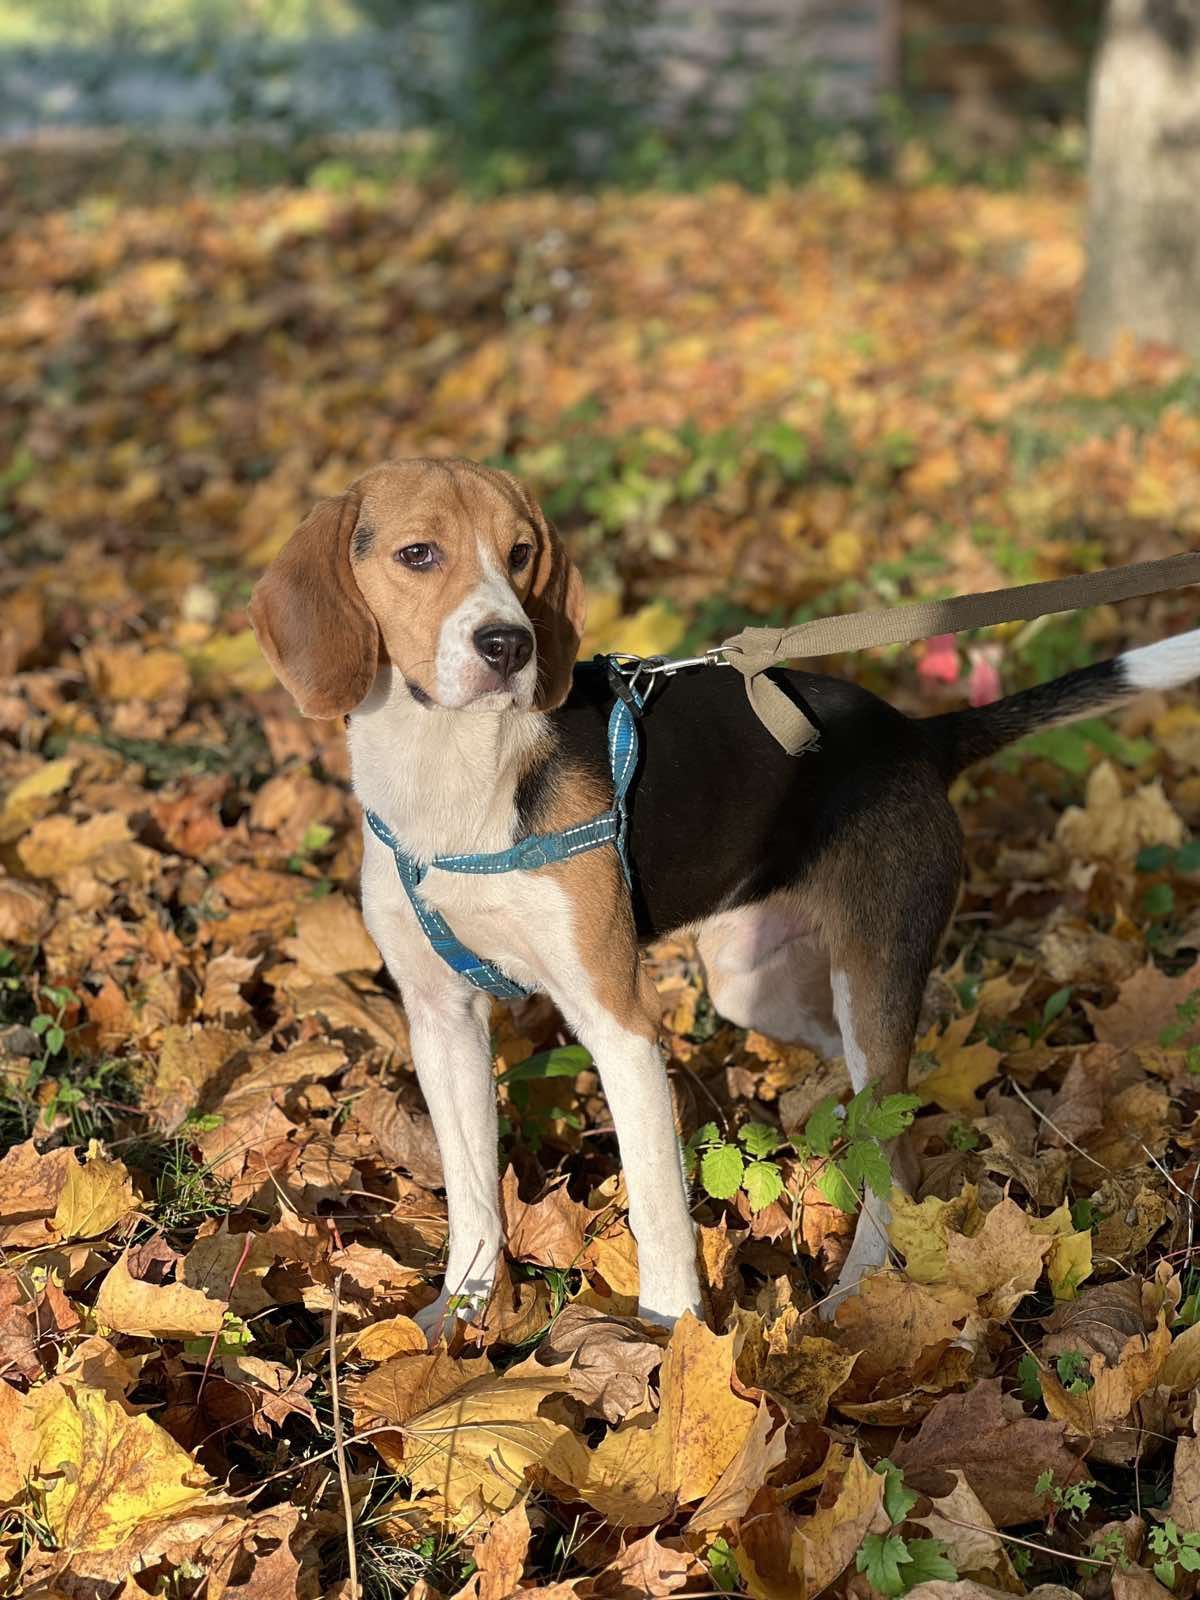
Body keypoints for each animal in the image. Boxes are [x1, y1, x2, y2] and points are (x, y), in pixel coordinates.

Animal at [251, 457, 1200, 1331]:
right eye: (419, 554)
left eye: (520, 555)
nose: (510, 646)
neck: (449, 774)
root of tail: (917, 735)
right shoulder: (440, 1020)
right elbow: (473, 1190)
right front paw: (458, 1316)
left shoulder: (619, 1022)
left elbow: (657, 1210)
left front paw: (667, 1347)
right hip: (751, 983)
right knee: (858, 1100)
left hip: (870, 973)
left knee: (896, 1158)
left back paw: (858, 1294)